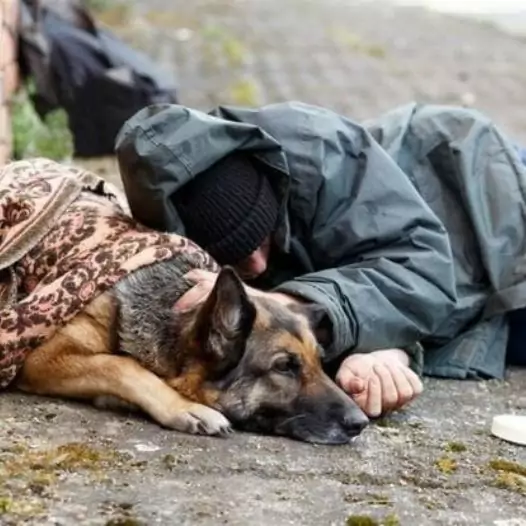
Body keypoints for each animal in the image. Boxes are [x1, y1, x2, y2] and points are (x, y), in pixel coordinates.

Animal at [15, 249, 372, 446]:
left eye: (320, 362)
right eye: (284, 366)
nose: (361, 423)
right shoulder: (40, 357)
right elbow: (119, 364)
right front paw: (185, 408)